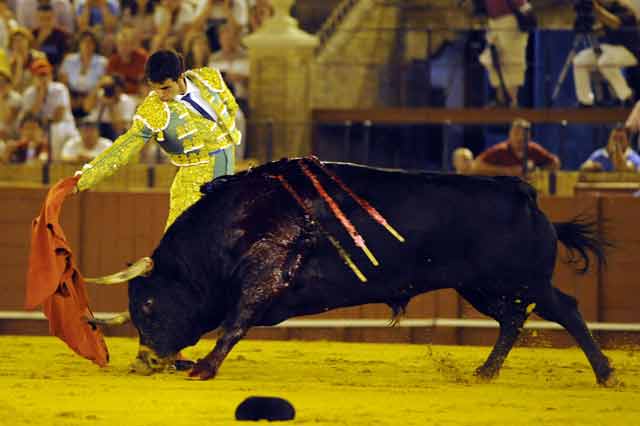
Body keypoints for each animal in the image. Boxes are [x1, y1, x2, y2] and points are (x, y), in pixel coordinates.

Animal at [115, 158, 608, 384]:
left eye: (149, 304)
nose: (144, 361)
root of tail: (523, 191)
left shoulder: (264, 277)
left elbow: (235, 323)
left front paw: (204, 367)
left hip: (525, 280)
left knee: (565, 309)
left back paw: (605, 373)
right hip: (480, 287)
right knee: (512, 320)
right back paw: (484, 372)